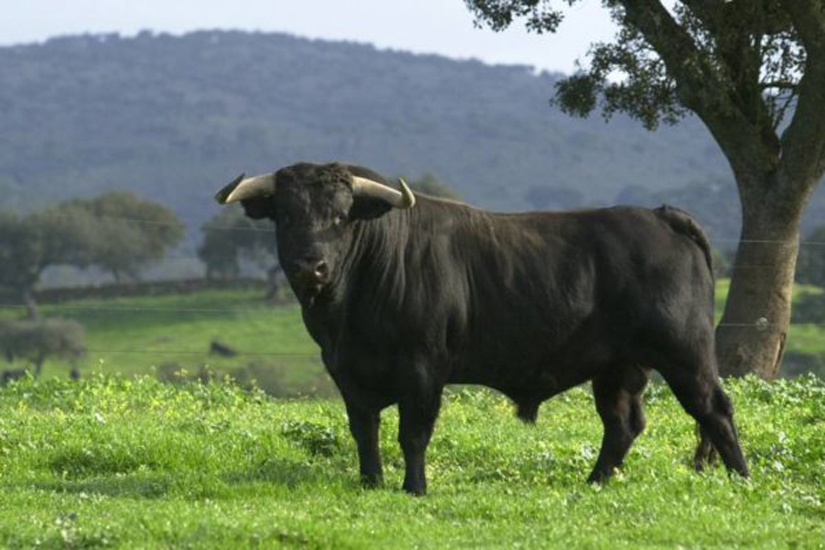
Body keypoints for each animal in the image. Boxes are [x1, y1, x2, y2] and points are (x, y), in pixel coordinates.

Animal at [216, 163, 748, 496]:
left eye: (342, 216)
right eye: (287, 214)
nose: (312, 266)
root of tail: (659, 215)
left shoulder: (423, 370)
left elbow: (413, 433)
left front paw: (414, 488)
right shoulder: (348, 374)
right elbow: (364, 432)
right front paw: (371, 483)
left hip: (685, 354)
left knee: (715, 410)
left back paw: (742, 477)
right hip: (617, 367)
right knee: (623, 425)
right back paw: (594, 482)